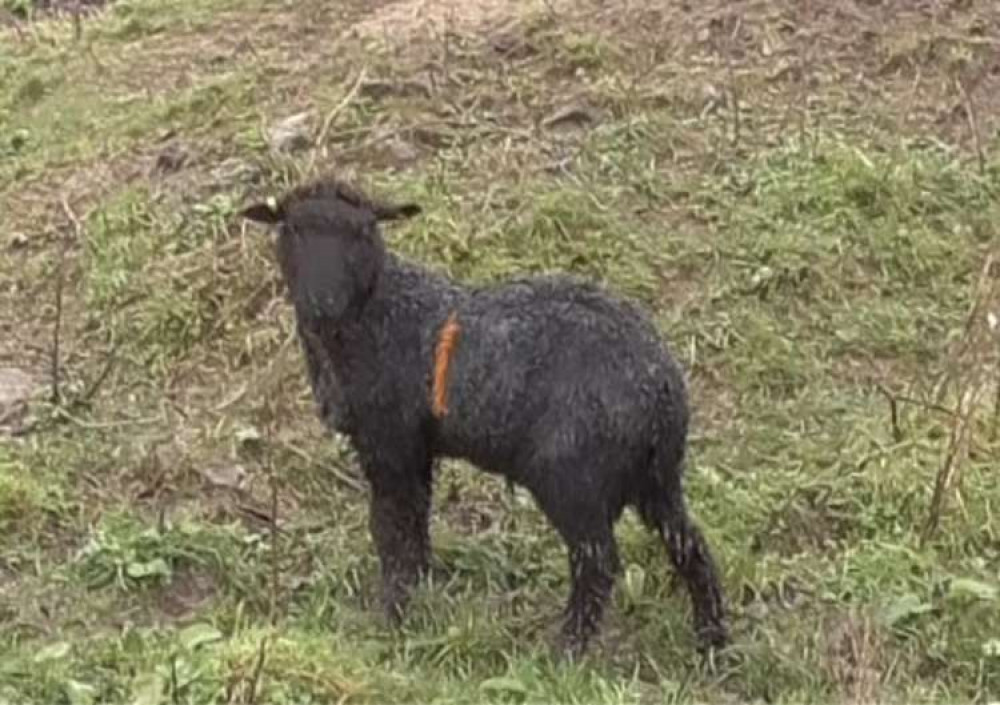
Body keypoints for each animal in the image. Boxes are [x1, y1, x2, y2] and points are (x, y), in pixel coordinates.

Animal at [242, 177, 728, 656]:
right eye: (293, 228)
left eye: (362, 232)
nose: (322, 299)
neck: (376, 315)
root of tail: (662, 386)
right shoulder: (416, 449)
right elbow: (415, 523)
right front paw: (420, 595)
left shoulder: (389, 440)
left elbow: (390, 528)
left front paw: (394, 615)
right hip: (655, 478)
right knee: (689, 542)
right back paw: (711, 639)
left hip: (573, 474)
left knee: (598, 561)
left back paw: (565, 651)